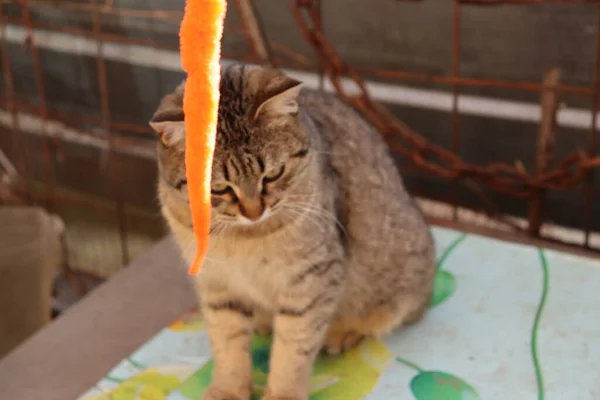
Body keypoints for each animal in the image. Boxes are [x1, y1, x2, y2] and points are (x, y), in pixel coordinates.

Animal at [151, 65, 436, 400]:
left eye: (273, 174)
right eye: (218, 188)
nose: (254, 212)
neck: (243, 237)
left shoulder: (311, 279)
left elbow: (293, 348)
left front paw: (283, 393)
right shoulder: (216, 284)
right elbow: (228, 344)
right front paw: (228, 389)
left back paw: (342, 332)